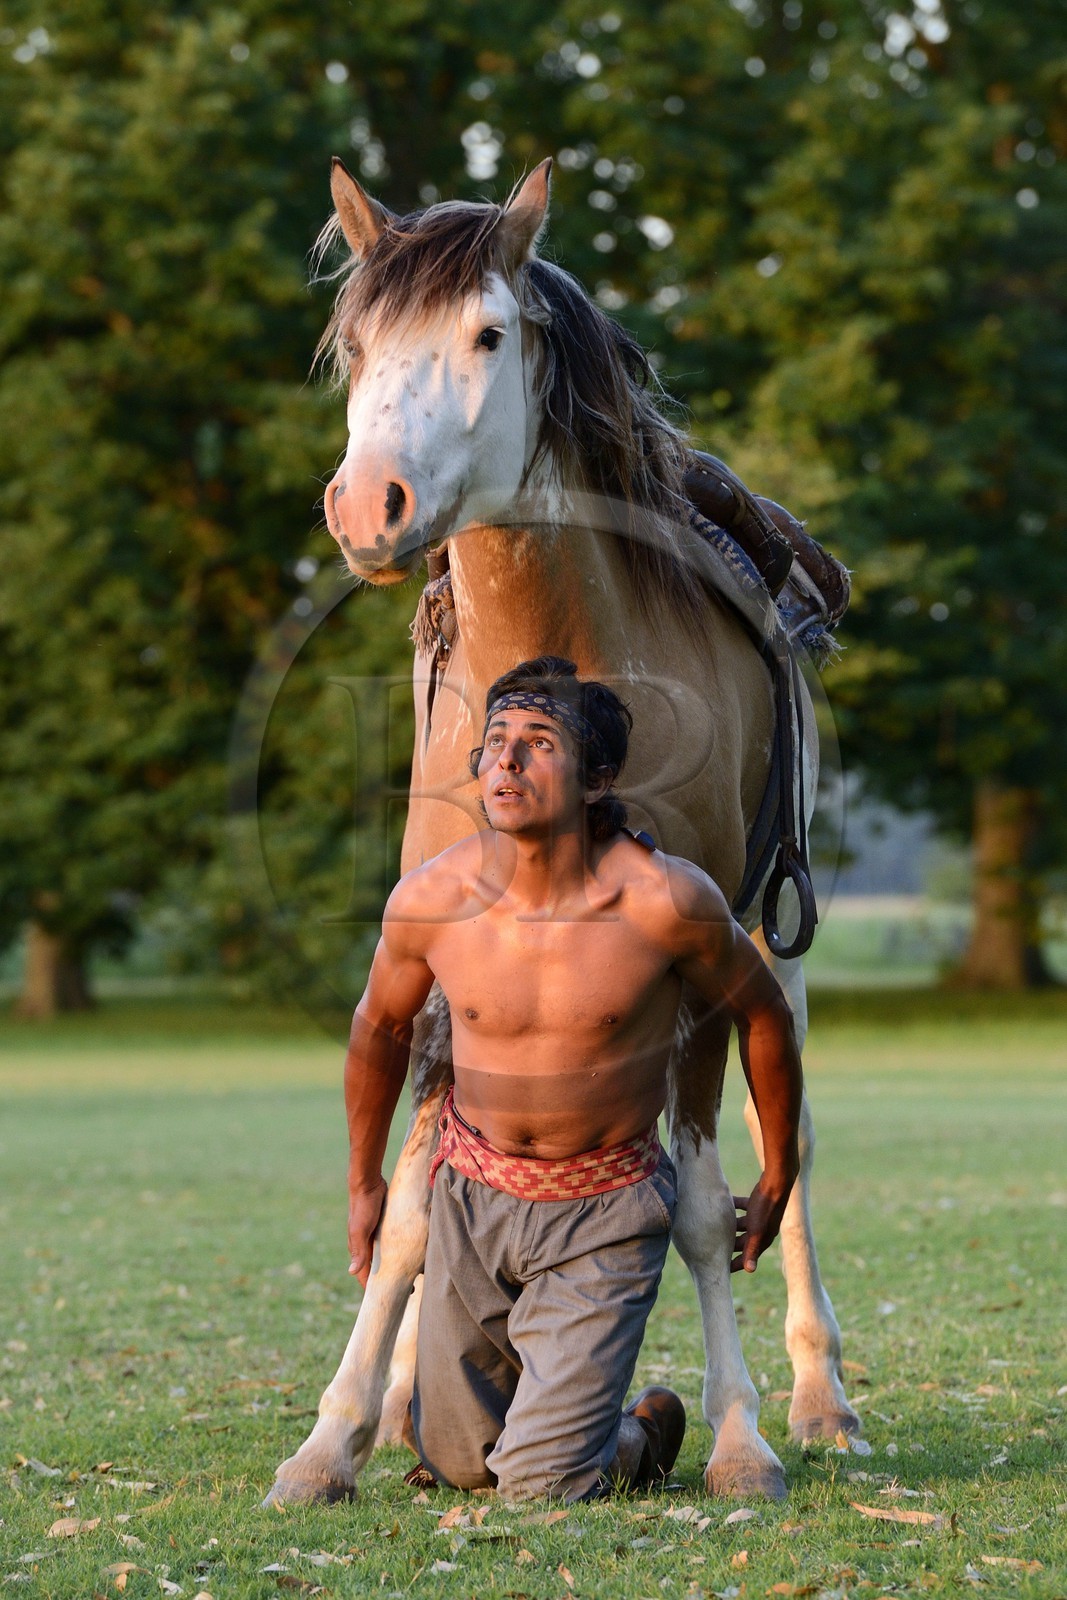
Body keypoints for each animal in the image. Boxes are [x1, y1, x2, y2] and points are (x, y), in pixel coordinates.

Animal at [264, 158, 860, 1506]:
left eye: (488, 334)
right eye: (357, 343)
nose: (366, 504)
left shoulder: (709, 961)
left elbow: (703, 1202)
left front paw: (741, 1438)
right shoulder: (431, 959)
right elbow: (414, 1208)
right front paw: (335, 1434)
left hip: (776, 947)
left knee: (785, 1149)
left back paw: (819, 1396)